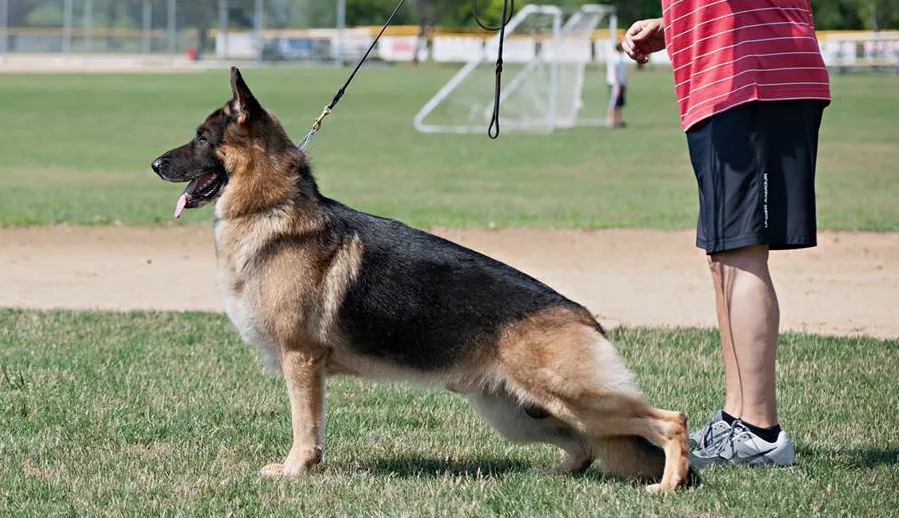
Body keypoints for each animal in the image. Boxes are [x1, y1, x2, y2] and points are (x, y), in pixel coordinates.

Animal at [151, 68, 692, 492]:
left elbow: (305, 427)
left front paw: (294, 472)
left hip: (575, 397)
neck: (271, 206)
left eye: (202, 138)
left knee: (670, 421)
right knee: (585, 447)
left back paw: (670, 485)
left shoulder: (301, 361)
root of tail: (583, 316)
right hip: (520, 413)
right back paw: (553, 475)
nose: (154, 163)